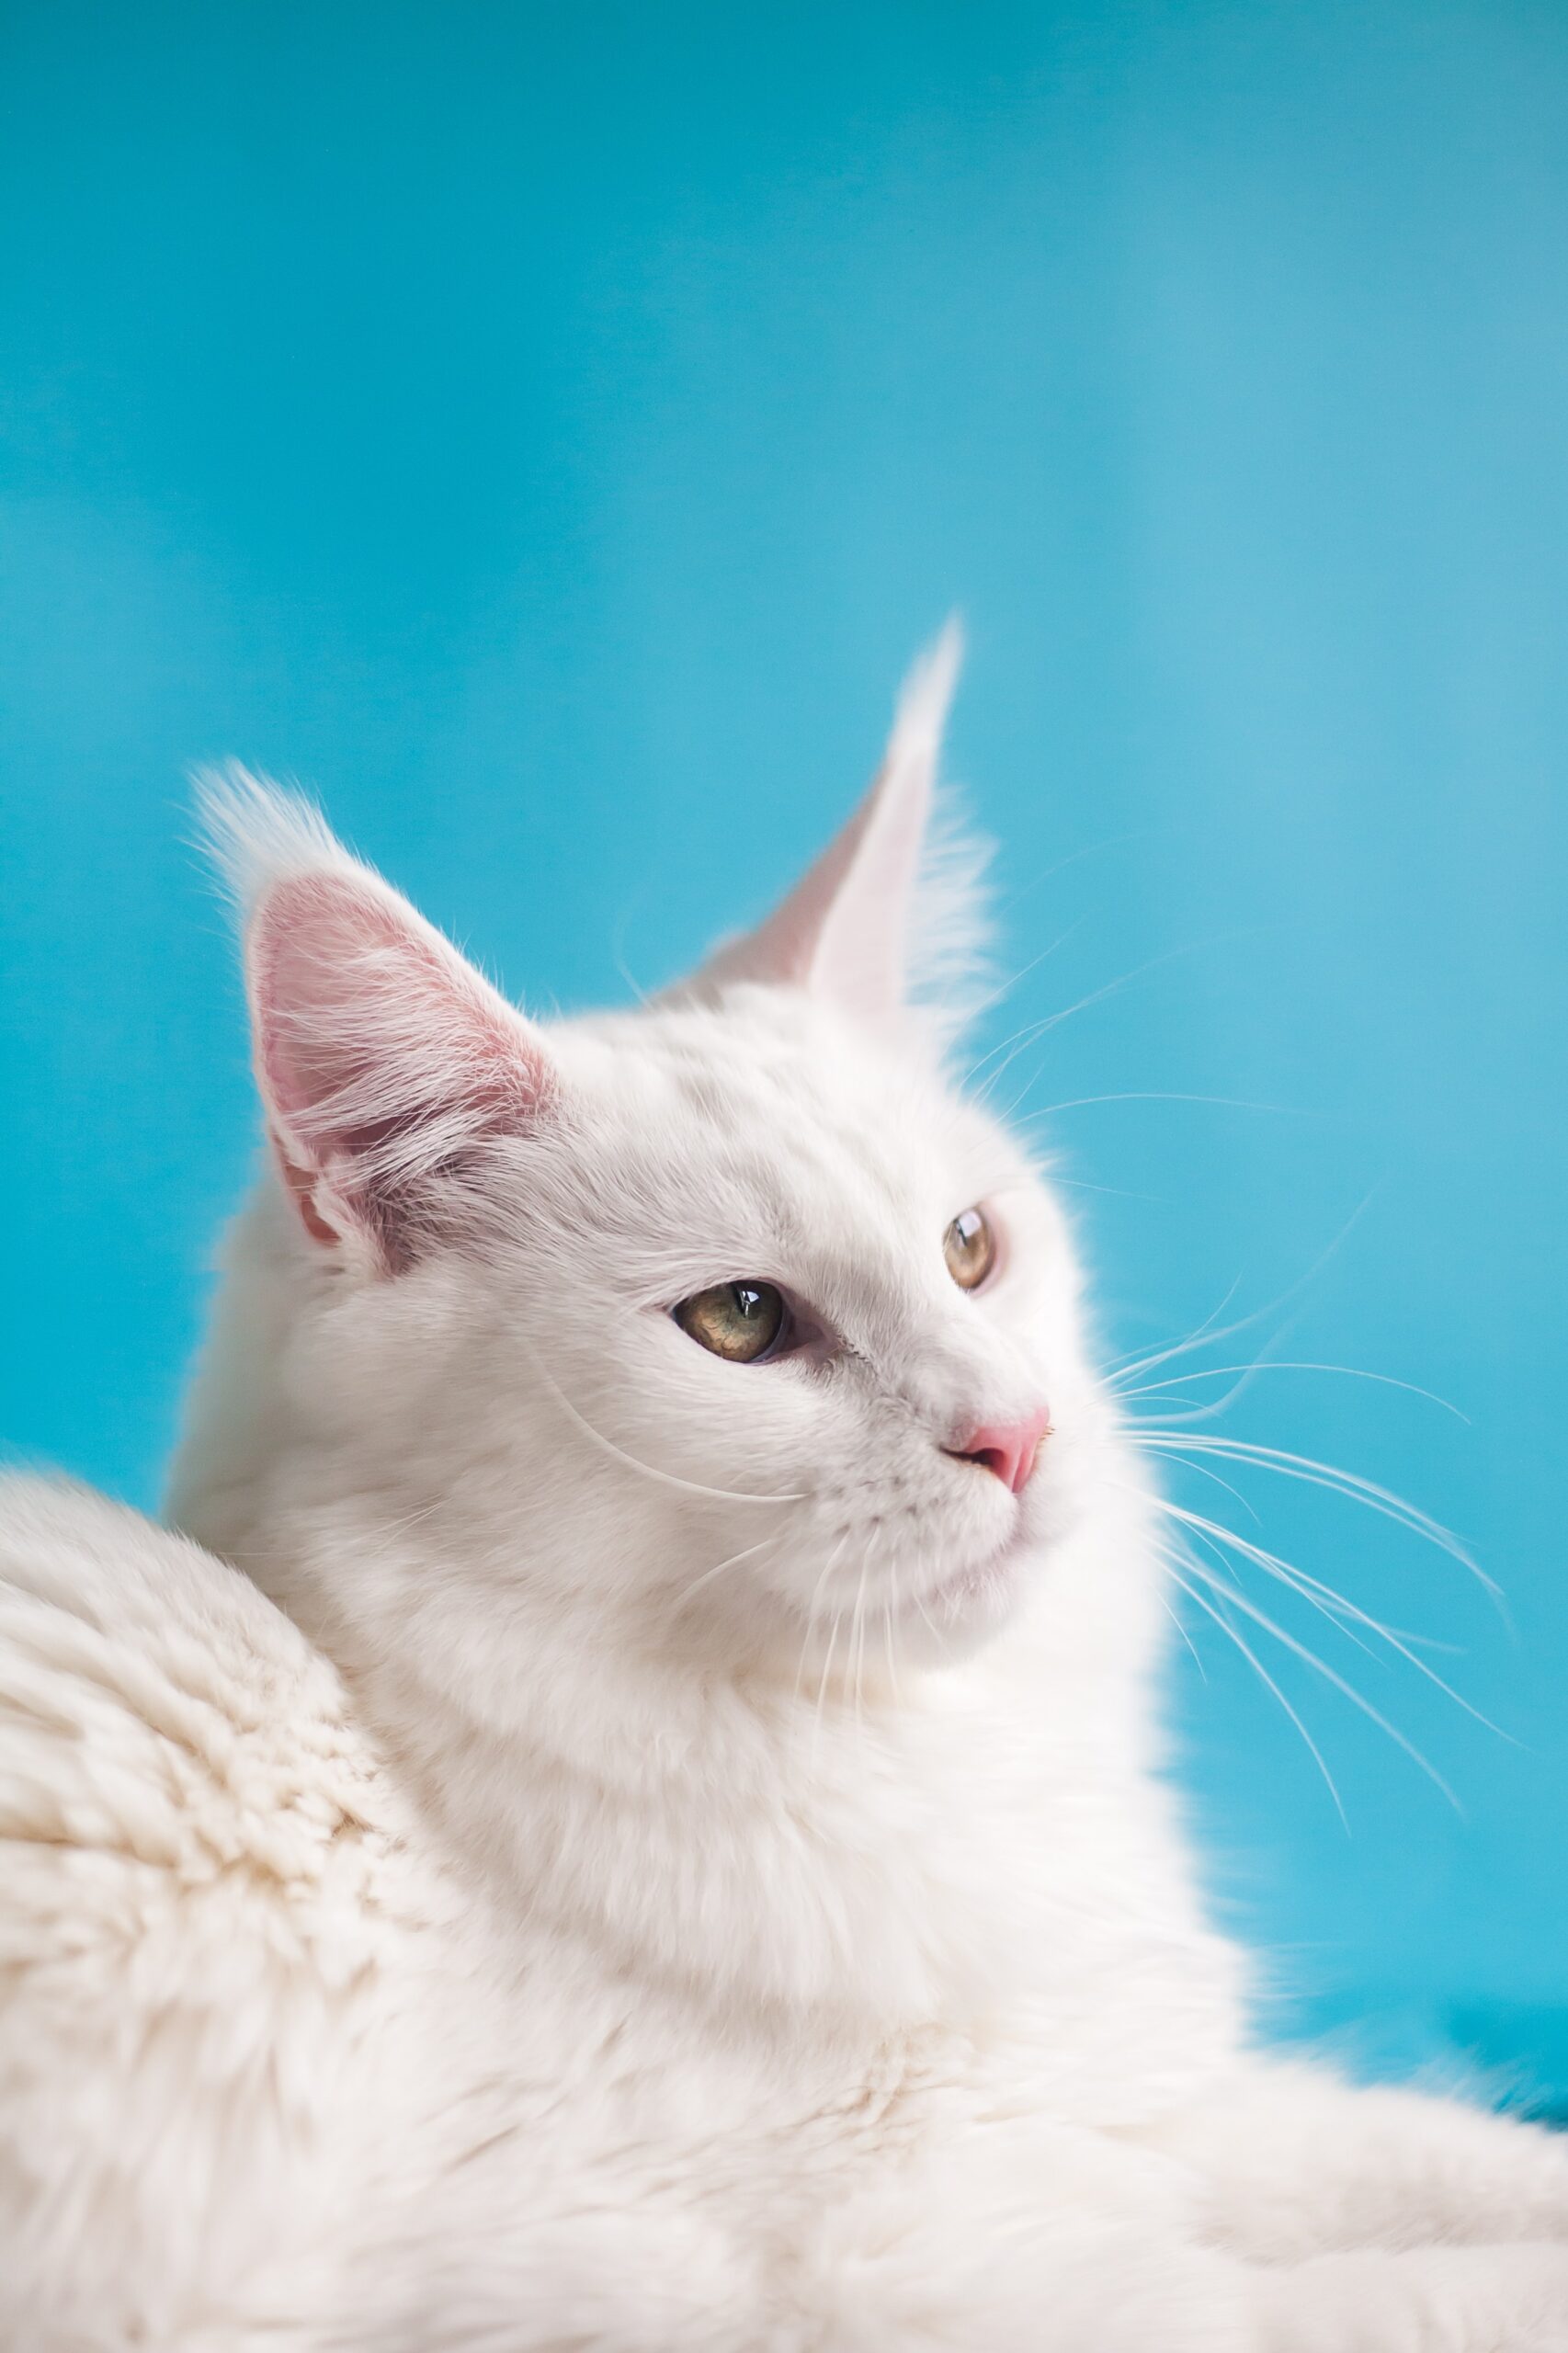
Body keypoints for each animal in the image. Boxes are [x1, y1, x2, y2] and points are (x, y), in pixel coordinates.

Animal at [3, 635, 1562, 2343]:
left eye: (971, 1248)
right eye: (742, 1322)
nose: (1018, 1434)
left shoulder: (1154, 2113)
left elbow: (1458, 2160)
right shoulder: (950, 2279)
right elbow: (1436, 2291)